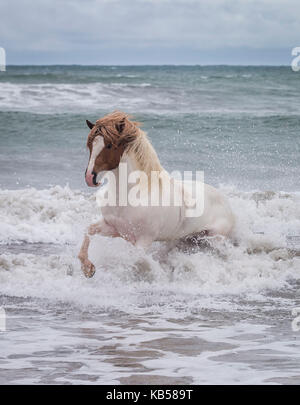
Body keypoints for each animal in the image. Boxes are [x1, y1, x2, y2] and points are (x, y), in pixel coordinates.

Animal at [77, 109, 234, 276]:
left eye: (109, 145)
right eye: (90, 145)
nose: (90, 177)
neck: (130, 195)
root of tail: (226, 203)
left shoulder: (143, 240)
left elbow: (134, 260)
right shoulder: (113, 228)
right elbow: (88, 231)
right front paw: (88, 269)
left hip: (214, 239)